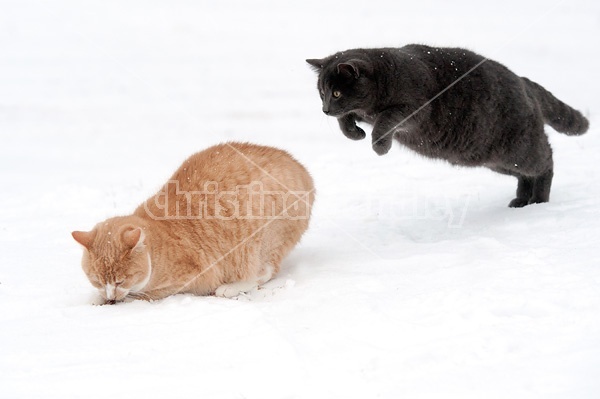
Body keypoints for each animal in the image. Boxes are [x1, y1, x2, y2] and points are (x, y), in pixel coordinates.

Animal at [71, 142, 314, 304]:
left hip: (259, 242)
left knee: (263, 273)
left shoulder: (185, 280)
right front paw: (98, 298)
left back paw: (230, 288)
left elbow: (140, 296)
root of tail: (302, 170)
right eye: (96, 280)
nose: (111, 296)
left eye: (121, 281)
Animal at [308, 45, 588, 208]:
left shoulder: (412, 111)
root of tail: (522, 80)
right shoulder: (360, 112)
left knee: (546, 160)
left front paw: (379, 146)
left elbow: (385, 121)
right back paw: (521, 200)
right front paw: (354, 132)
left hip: (518, 149)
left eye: (336, 92)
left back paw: (539, 201)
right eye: (321, 93)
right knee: (526, 174)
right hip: (495, 161)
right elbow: (346, 119)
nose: (324, 109)